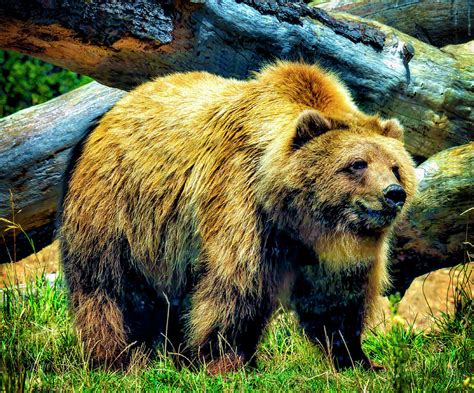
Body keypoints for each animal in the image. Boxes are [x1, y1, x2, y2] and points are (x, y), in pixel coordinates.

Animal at [58, 61, 414, 370]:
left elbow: (339, 298)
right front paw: (228, 361)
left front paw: (360, 359)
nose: (394, 193)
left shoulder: (329, 254)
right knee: (107, 286)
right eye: (357, 164)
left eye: (395, 166)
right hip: (118, 208)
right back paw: (116, 357)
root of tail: (111, 113)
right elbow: (236, 286)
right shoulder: (242, 202)